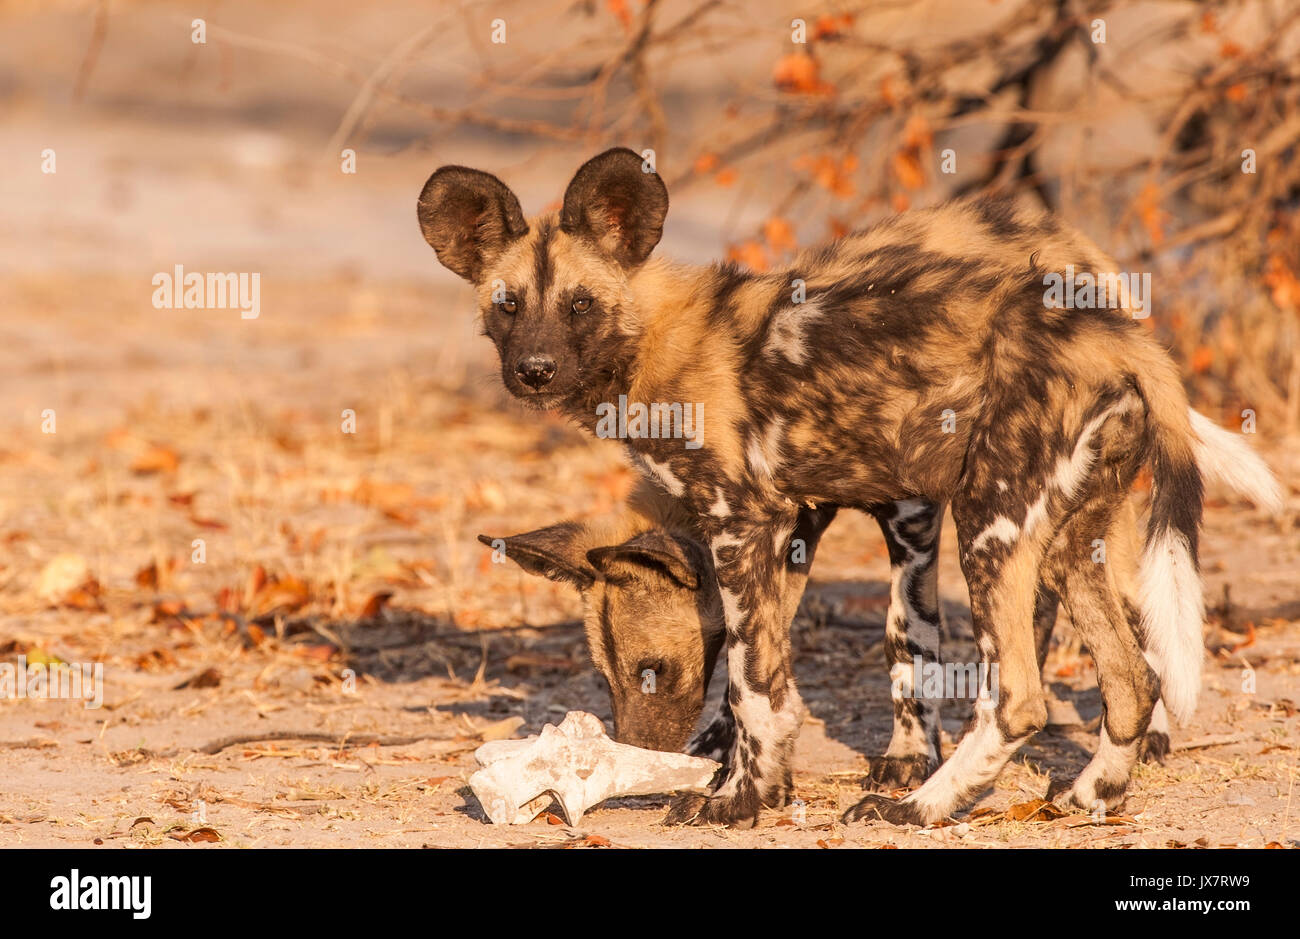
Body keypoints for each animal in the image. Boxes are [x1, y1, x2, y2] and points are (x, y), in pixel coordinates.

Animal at [416, 148, 1279, 827]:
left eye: (580, 305)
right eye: (507, 307)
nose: (533, 371)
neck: (657, 347)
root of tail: (1114, 332)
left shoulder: (746, 525)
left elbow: (755, 688)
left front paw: (739, 801)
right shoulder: (786, 530)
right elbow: (764, 683)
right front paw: (742, 783)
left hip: (990, 524)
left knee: (1021, 694)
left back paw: (919, 806)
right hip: (1067, 540)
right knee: (1129, 677)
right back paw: (1090, 795)